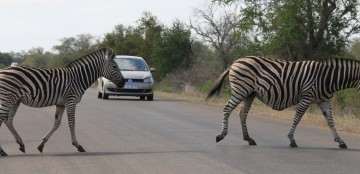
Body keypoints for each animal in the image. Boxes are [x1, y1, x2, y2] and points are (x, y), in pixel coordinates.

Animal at [205, 56, 360, 149]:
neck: (327, 78)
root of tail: (235, 62)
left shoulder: (324, 101)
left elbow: (331, 122)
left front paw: (340, 141)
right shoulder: (306, 97)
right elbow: (297, 118)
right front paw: (291, 140)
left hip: (249, 94)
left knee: (242, 114)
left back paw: (249, 139)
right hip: (241, 90)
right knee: (227, 109)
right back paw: (221, 135)